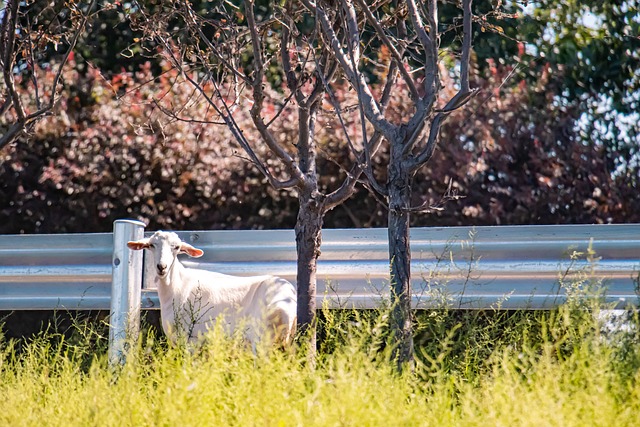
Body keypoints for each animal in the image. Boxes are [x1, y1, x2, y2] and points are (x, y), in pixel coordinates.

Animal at [127, 232, 298, 350]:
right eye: (151, 245)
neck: (178, 286)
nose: (161, 267)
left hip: (262, 339)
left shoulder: (192, 339)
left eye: (176, 247)